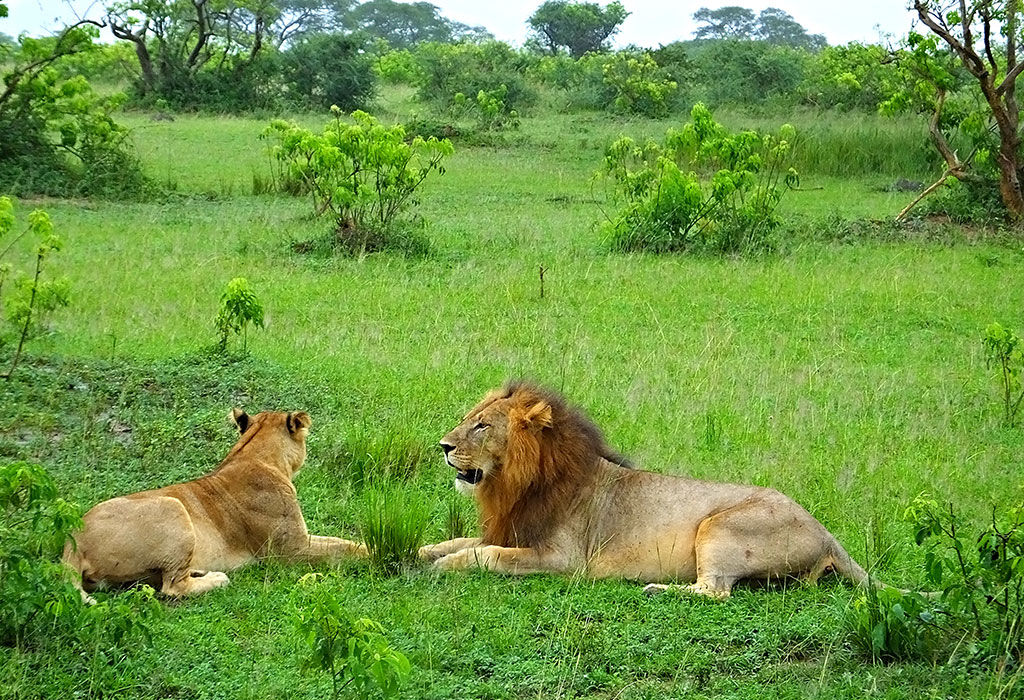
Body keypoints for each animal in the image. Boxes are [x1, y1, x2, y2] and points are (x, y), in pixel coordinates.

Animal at [63, 409, 365, 600]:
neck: (254, 455)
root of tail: (73, 539)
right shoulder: (290, 550)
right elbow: (343, 547)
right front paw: (373, 552)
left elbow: (341, 541)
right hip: (173, 505)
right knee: (172, 587)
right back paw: (217, 579)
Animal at [419, 382, 871, 599]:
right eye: (469, 419)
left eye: (482, 426)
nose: (443, 446)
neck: (516, 484)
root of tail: (826, 532)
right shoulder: (510, 529)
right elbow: (460, 541)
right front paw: (425, 552)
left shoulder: (563, 559)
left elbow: (487, 555)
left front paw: (446, 566)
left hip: (718, 527)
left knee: (717, 591)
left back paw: (656, 589)